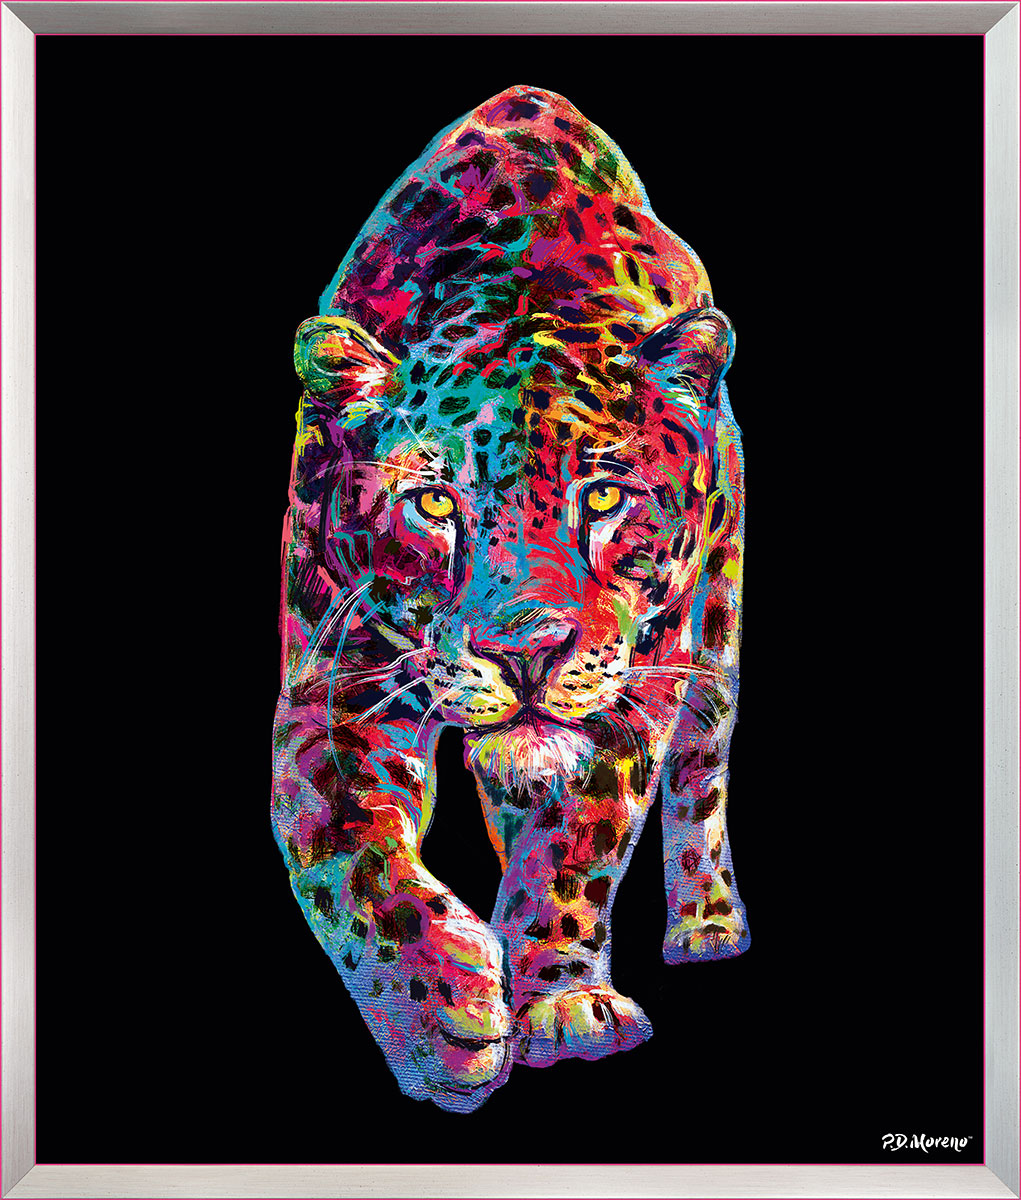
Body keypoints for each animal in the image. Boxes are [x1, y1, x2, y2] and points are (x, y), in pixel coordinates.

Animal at [272, 84, 749, 1113]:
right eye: (434, 503)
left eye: (603, 497)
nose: (525, 649)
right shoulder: (331, 688)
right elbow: (345, 856)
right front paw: (444, 1015)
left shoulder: (634, 685)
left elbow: (577, 839)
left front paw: (561, 1003)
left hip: (716, 634)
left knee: (701, 773)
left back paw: (705, 921)